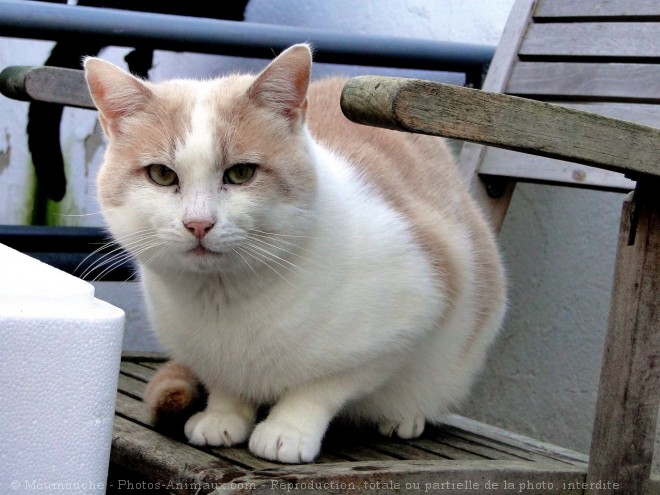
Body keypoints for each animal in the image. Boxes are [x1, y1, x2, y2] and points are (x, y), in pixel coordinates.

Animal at [82, 43, 506, 464]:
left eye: (241, 174)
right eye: (162, 175)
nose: (198, 224)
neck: (224, 300)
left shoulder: (414, 310)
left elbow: (322, 386)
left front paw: (288, 429)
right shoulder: (209, 357)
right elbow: (226, 385)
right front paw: (223, 414)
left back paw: (404, 416)